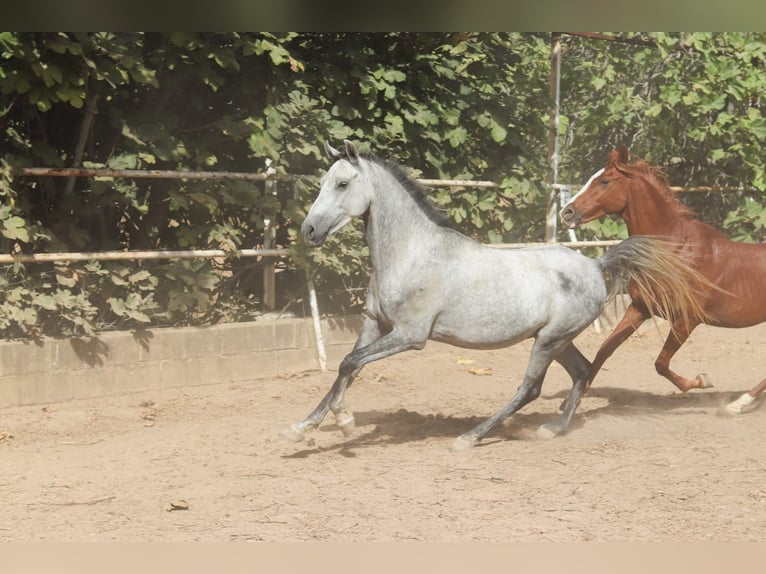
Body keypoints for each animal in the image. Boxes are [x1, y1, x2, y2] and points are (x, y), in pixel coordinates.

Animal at [284, 142, 712, 452]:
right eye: (323, 182)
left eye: (342, 184)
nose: (309, 230)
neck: (414, 253)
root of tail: (597, 265)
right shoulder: (376, 325)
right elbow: (348, 367)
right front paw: (302, 428)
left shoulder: (410, 335)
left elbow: (348, 364)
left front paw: (342, 421)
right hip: (558, 339)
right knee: (582, 371)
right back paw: (553, 429)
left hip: (548, 341)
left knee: (531, 388)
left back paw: (471, 437)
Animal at [560, 148, 766, 416]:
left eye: (604, 181)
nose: (566, 212)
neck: (676, 250)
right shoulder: (640, 308)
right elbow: (605, 348)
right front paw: (571, 401)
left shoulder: (687, 320)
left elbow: (660, 363)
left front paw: (701, 381)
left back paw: (739, 403)